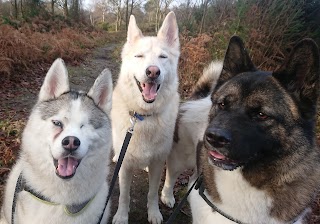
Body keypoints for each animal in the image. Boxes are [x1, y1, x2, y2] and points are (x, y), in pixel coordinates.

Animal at [111, 11, 179, 224]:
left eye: (163, 57)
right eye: (139, 56)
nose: (153, 71)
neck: (144, 117)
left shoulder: (158, 164)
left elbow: (152, 193)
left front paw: (154, 213)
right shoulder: (125, 168)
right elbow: (124, 195)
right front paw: (121, 216)